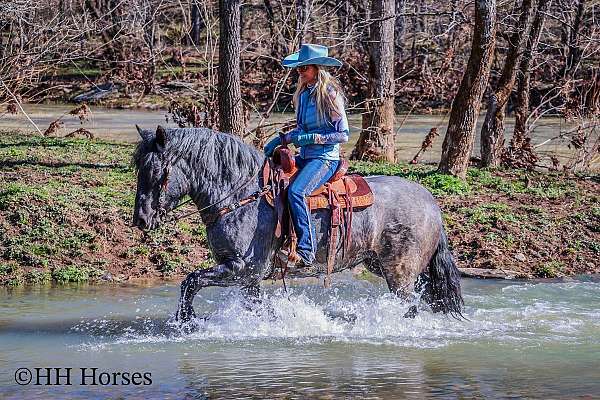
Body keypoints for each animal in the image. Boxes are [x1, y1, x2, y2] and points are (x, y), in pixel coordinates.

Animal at [132, 126, 464, 324]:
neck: (241, 196)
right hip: (391, 267)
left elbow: (190, 281)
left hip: (400, 273)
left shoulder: (242, 269)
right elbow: (255, 305)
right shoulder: (247, 278)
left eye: (156, 171)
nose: (141, 219)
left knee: (409, 305)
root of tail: (431, 203)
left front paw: (186, 320)